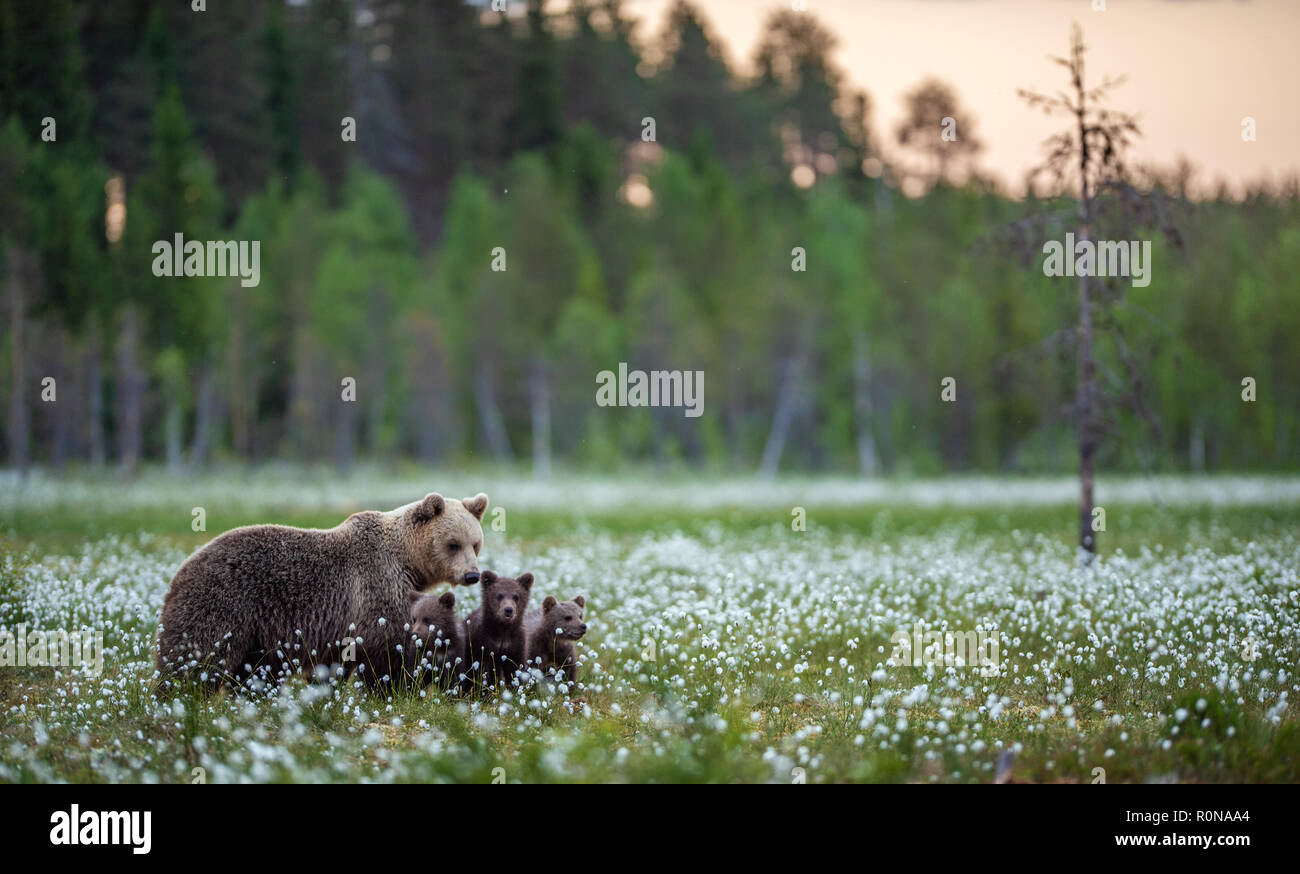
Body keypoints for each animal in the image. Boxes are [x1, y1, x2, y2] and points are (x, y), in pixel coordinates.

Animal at [155, 491, 488, 691]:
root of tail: (180, 570)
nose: (472, 575)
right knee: (196, 655)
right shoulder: (375, 587)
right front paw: (393, 686)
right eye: (453, 543)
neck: (406, 561)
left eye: (475, 543)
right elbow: (383, 647)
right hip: (223, 603)